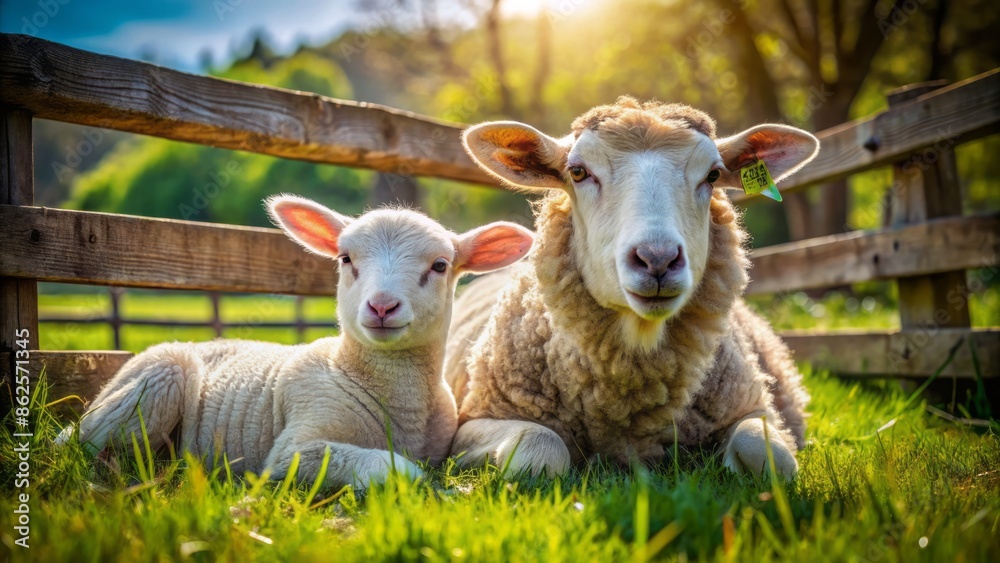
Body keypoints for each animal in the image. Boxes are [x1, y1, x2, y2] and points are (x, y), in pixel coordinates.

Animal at [58, 195, 534, 489]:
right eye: (345, 258)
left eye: (440, 265)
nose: (381, 307)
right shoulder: (295, 451)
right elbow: (392, 467)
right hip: (154, 381)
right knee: (82, 446)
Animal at [444, 97, 818, 478]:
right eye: (577, 172)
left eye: (713, 175)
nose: (658, 259)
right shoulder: (472, 422)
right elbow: (540, 449)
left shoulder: (754, 406)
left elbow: (767, 453)